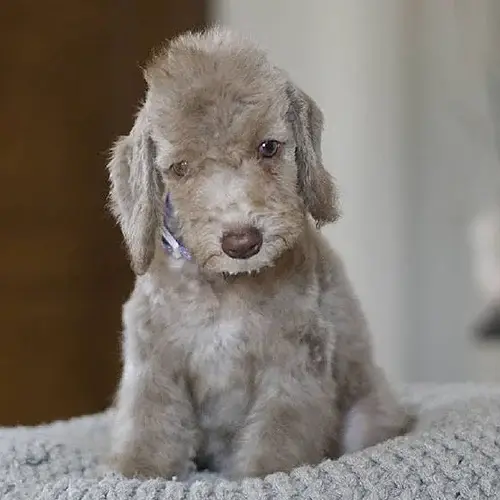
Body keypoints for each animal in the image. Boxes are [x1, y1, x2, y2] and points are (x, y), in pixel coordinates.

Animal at [106, 26, 414, 480]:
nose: (241, 242)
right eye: (180, 168)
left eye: (268, 147)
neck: (225, 286)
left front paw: (258, 475)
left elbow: (277, 439)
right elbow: (150, 425)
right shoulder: (155, 361)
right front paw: (136, 472)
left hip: (366, 412)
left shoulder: (293, 365)